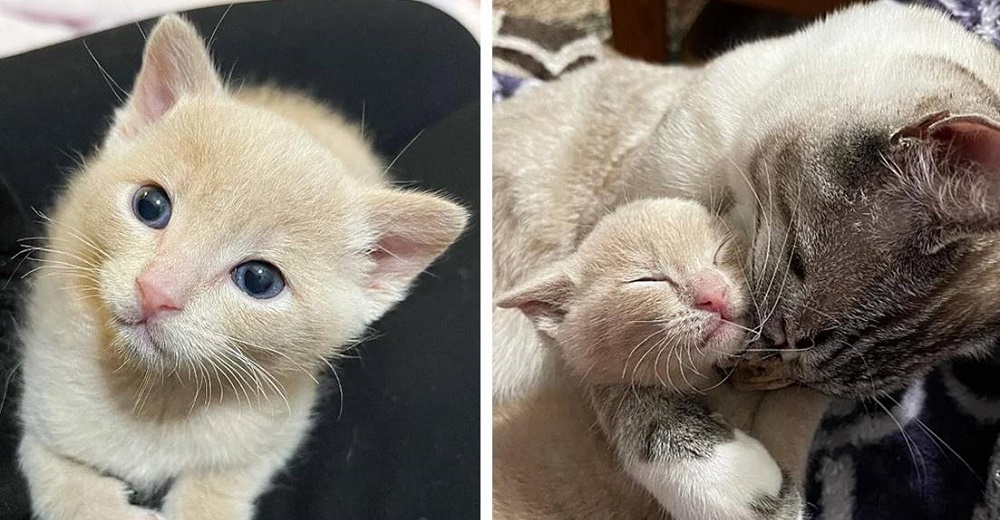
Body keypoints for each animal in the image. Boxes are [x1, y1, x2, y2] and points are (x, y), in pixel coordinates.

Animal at [16, 14, 468, 516]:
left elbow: (221, 481)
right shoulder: (41, 423)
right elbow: (70, 488)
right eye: (150, 205)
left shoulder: (277, 429)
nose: (156, 291)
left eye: (258, 279)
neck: (154, 393)